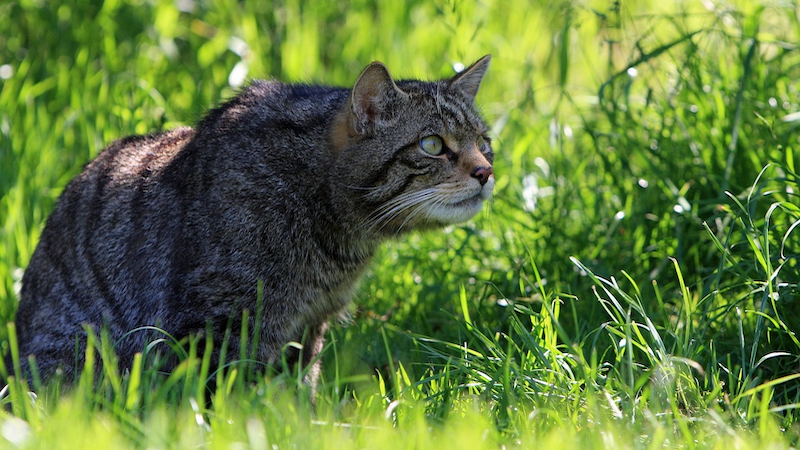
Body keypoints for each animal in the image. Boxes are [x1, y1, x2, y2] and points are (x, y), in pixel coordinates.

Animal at [7, 55, 494, 394]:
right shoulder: (219, 323)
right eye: (432, 145)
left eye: (484, 141)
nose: (486, 171)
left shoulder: (309, 324)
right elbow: (223, 400)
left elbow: (296, 393)